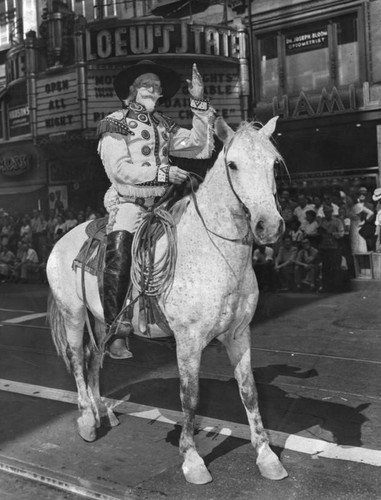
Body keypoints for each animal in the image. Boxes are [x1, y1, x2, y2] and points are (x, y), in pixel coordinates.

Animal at [46, 116, 284, 484]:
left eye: (273, 164)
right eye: (233, 164)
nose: (268, 226)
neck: (215, 252)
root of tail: (63, 238)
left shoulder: (239, 334)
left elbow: (249, 392)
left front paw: (267, 456)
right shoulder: (188, 340)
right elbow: (190, 396)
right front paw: (192, 460)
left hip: (101, 321)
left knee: (95, 359)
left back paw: (103, 412)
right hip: (72, 314)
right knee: (76, 360)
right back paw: (87, 420)